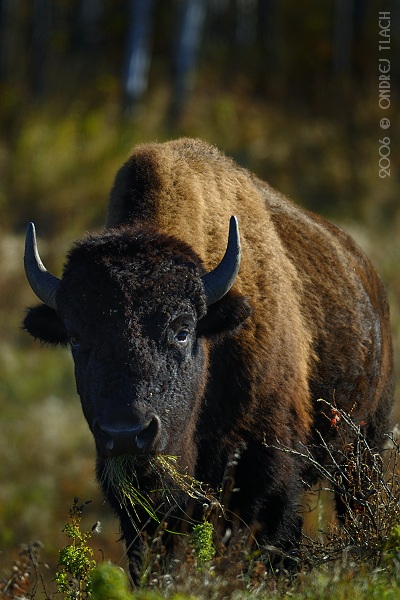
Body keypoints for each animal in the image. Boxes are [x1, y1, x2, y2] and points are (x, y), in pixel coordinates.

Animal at [24, 138, 394, 580]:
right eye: (77, 338)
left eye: (183, 330)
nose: (127, 434)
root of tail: (367, 274)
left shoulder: (267, 475)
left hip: (364, 452)